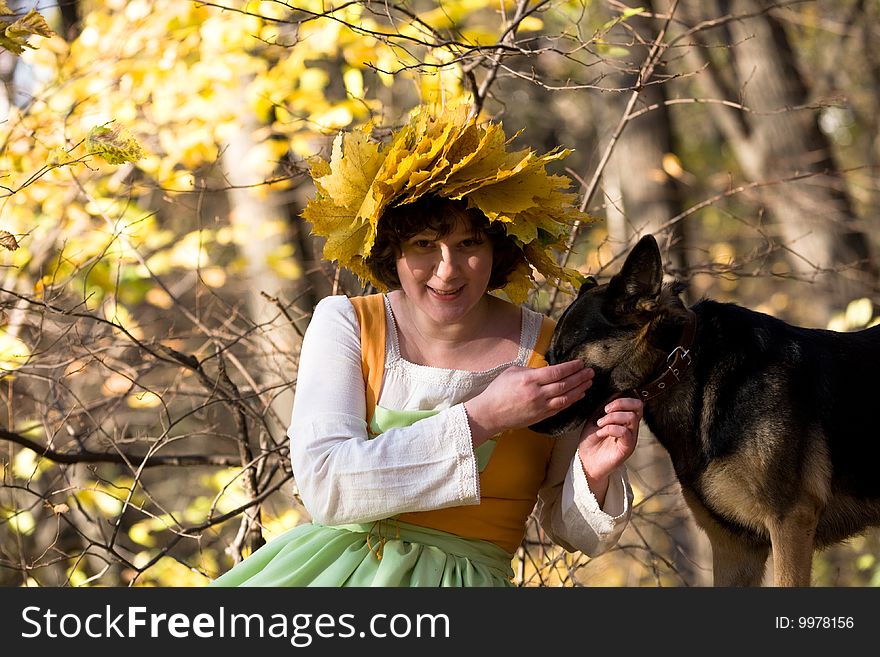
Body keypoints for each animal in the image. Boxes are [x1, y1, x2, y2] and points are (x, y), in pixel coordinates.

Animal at [528, 234, 880, 584]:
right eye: (550, 356)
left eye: (567, 353)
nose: (530, 423)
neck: (685, 363)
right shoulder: (733, 547)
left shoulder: (790, 523)